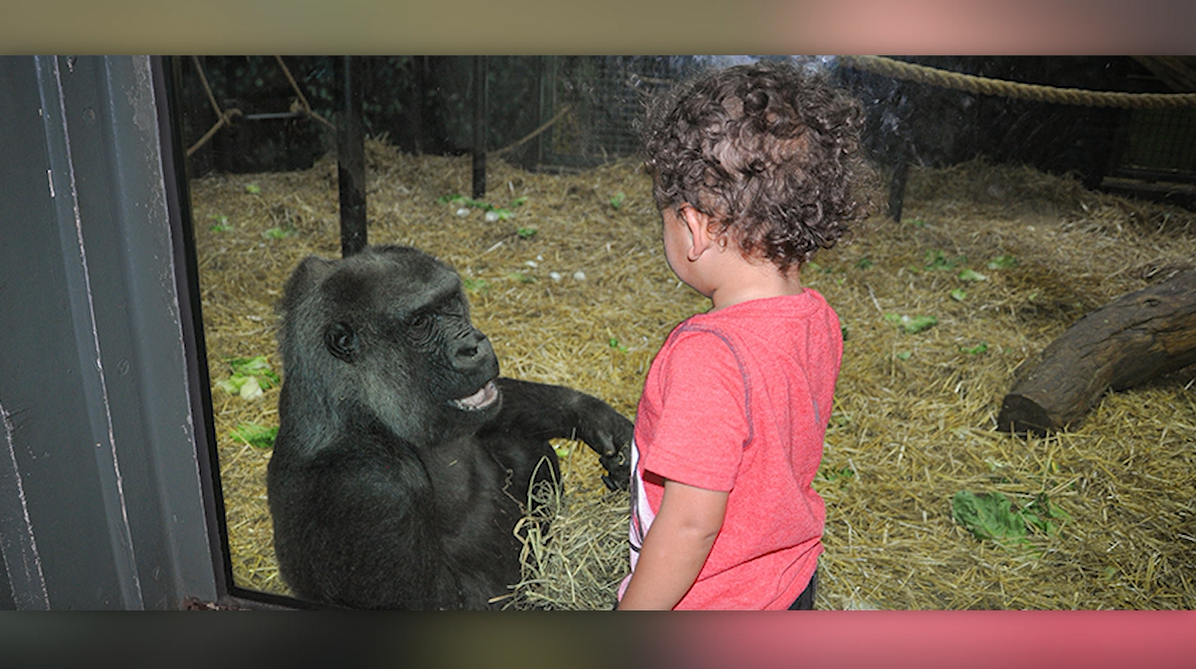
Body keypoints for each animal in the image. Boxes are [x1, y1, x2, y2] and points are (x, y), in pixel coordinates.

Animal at [266, 242, 631, 610]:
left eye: (451, 302)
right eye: (421, 322)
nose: (473, 346)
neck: (362, 405)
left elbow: (492, 415)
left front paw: (591, 416)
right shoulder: (371, 489)